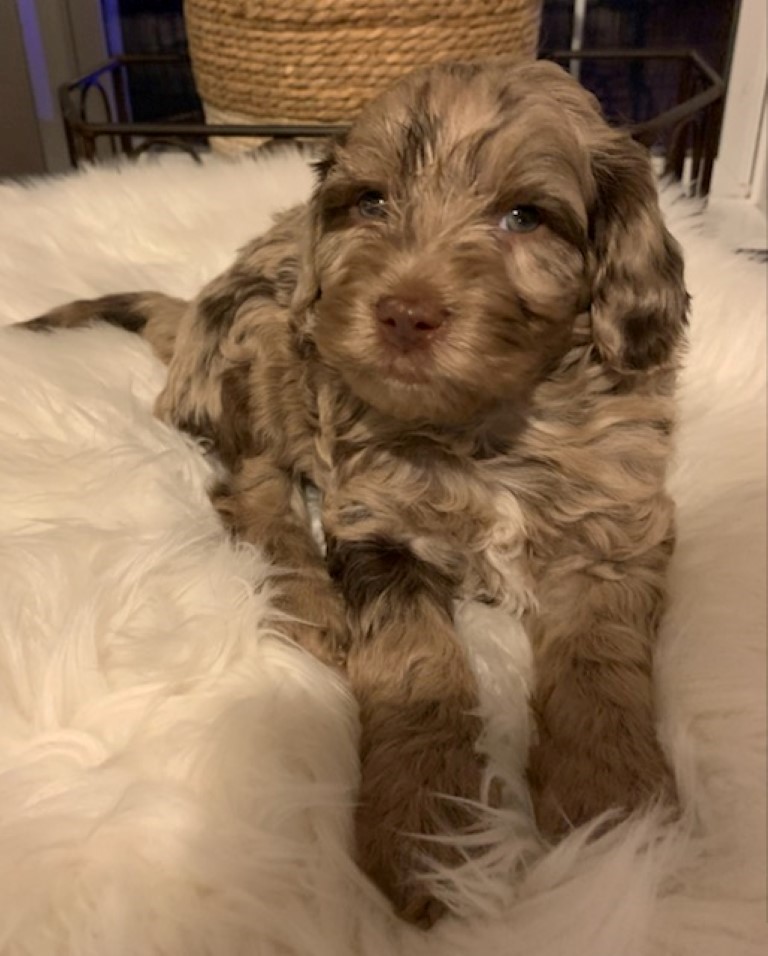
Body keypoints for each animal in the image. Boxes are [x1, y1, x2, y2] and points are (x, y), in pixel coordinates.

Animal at [24, 59, 688, 928]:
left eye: (525, 217)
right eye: (371, 202)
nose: (404, 313)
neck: (487, 427)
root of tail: (193, 315)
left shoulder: (615, 523)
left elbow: (598, 662)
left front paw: (612, 817)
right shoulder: (376, 525)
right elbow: (416, 665)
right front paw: (424, 834)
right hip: (263, 341)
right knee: (250, 485)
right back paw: (306, 602)